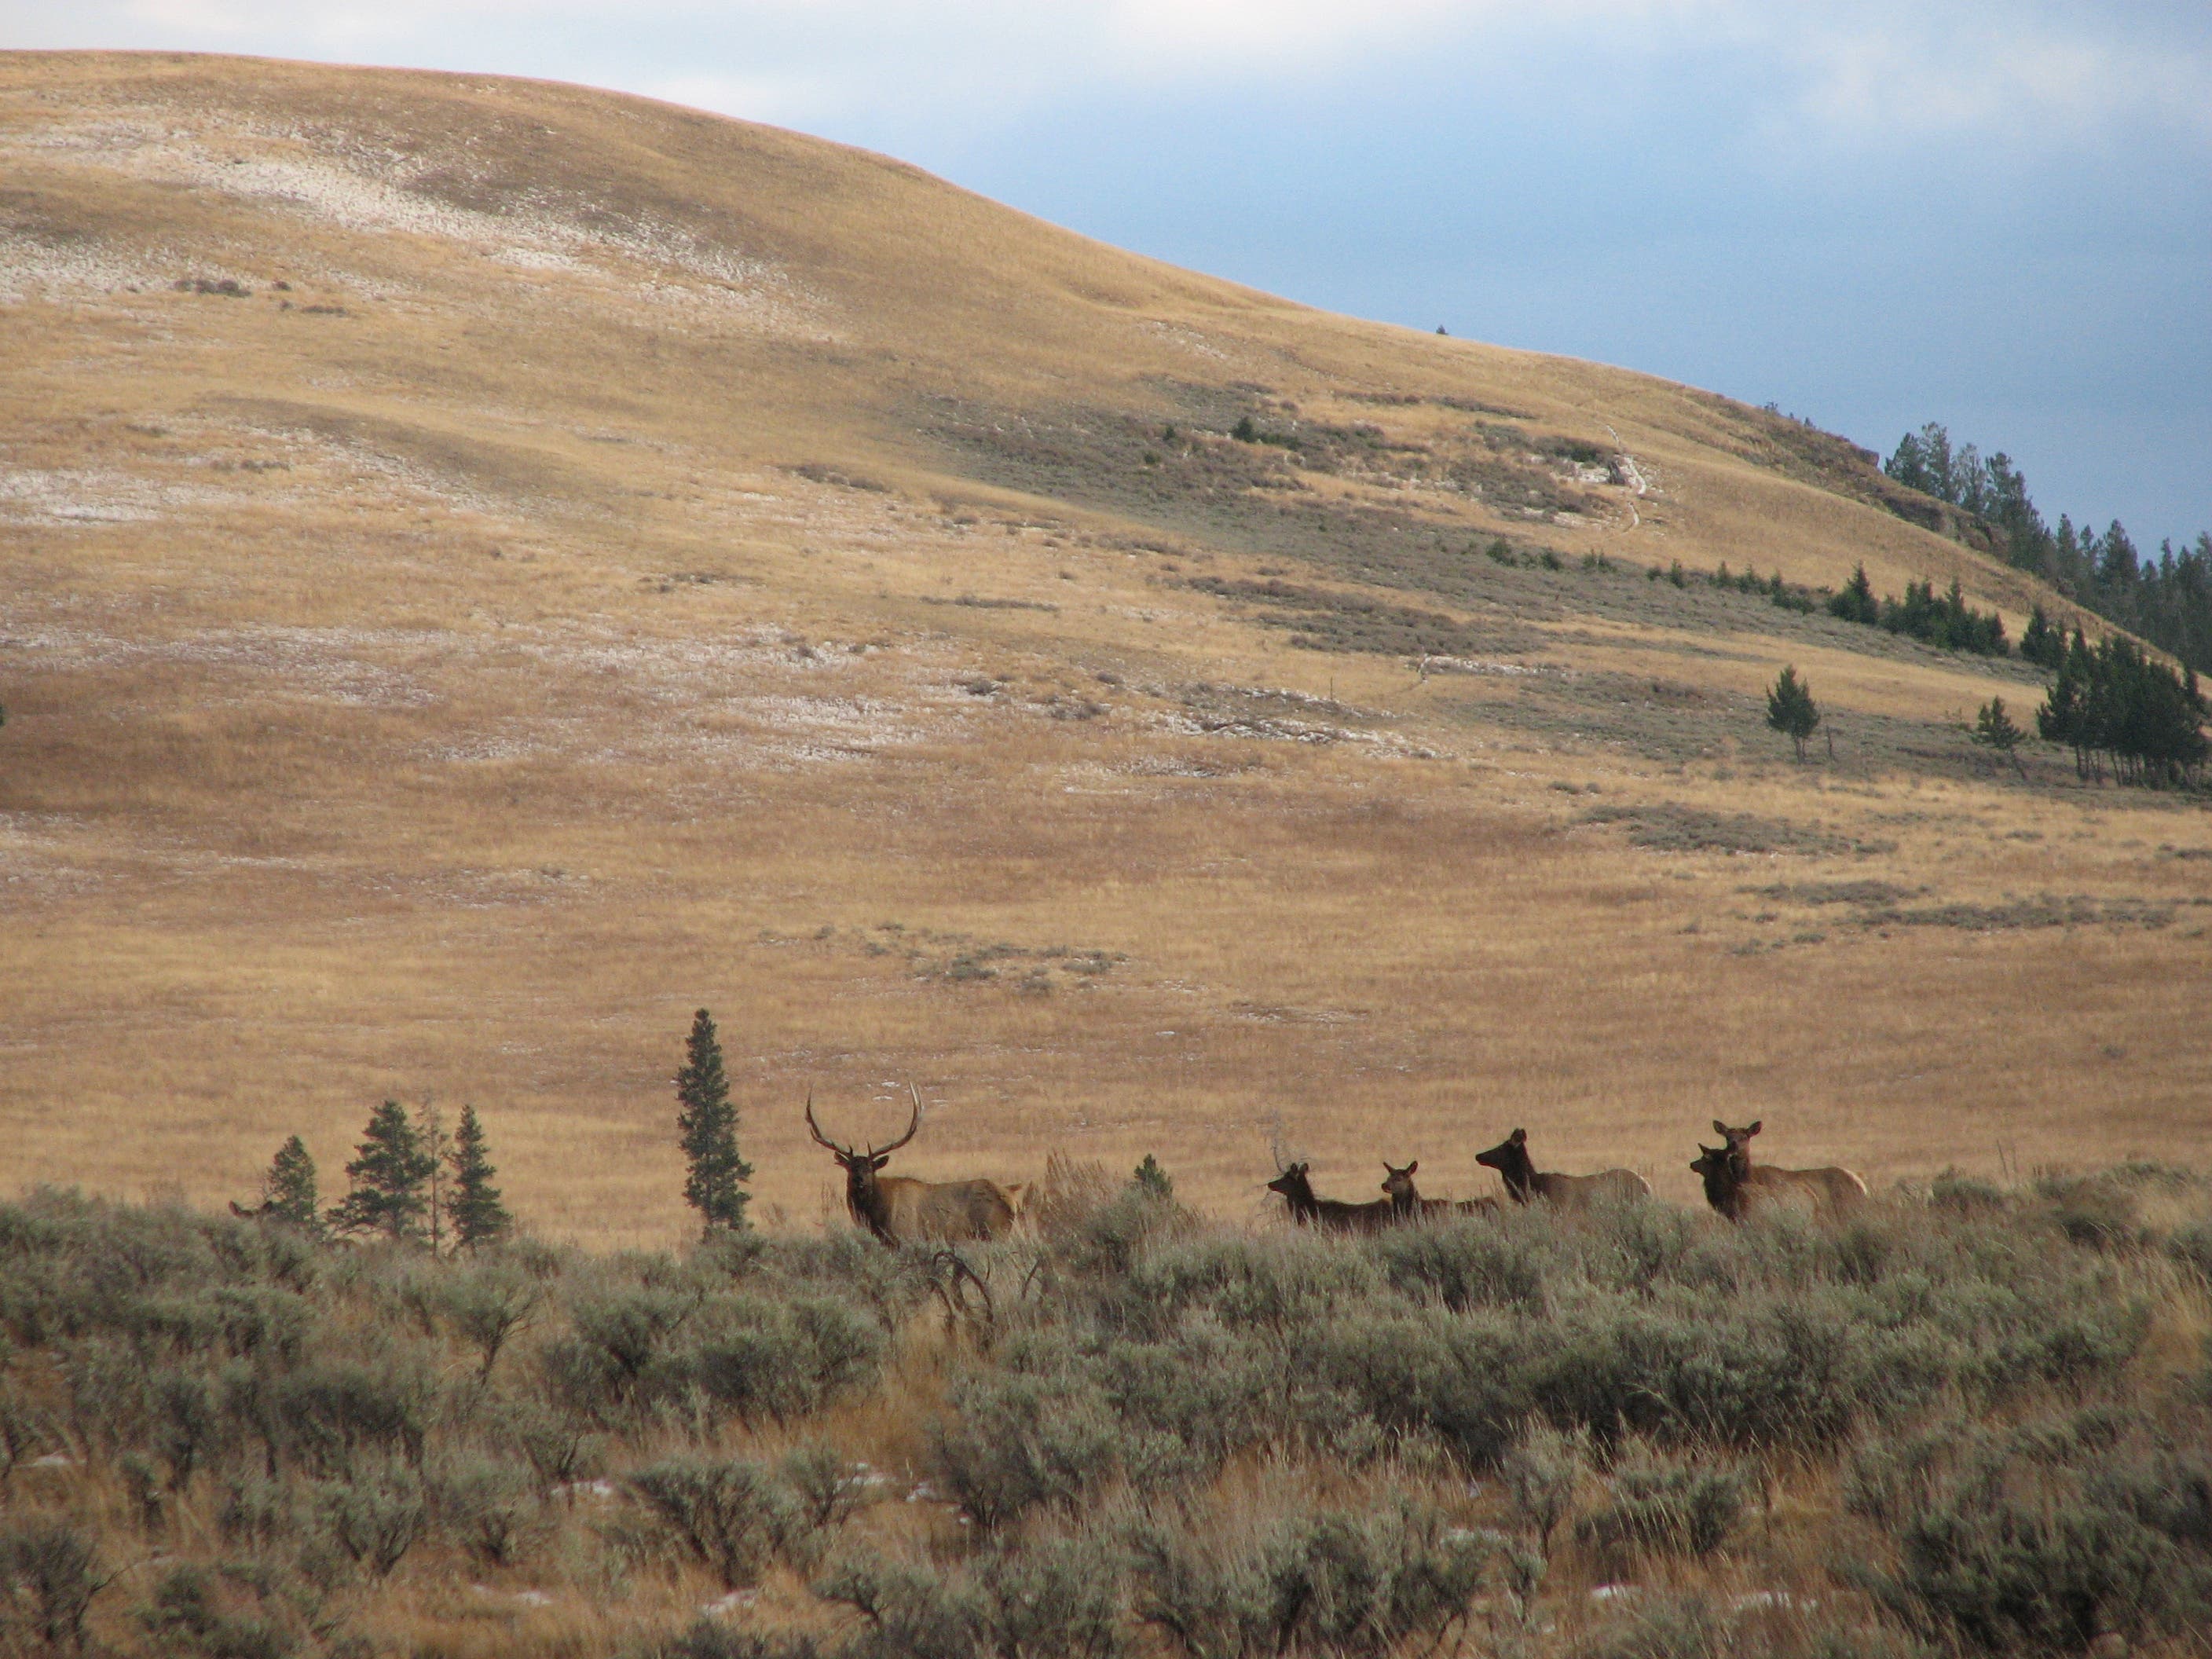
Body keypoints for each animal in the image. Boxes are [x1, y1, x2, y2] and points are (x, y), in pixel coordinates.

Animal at [805, 1086, 1021, 1246]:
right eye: (850, 1168)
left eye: (871, 1168)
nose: (859, 1180)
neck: (877, 1217)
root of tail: (1012, 1198)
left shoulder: (906, 1236)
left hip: (995, 1233)